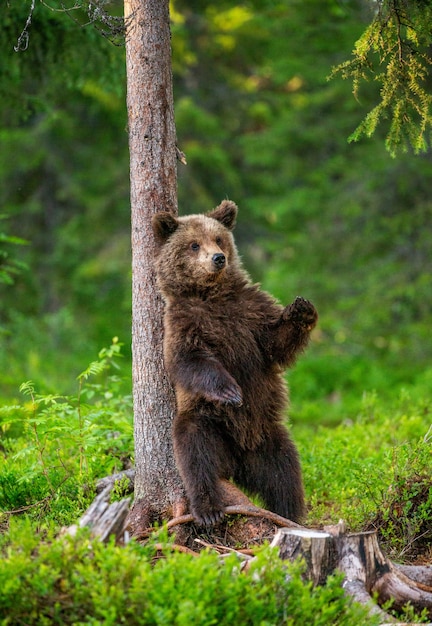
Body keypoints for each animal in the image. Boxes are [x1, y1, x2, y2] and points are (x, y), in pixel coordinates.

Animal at [152, 199, 318, 520]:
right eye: (193, 244)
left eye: (218, 239)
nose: (218, 258)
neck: (211, 295)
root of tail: (238, 461)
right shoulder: (182, 322)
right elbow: (188, 360)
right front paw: (230, 391)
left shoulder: (250, 311)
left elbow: (275, 343)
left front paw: (301, 310)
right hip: (206, 421)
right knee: (196, 453)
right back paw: (208, 508)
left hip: (269, 436)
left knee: (285, 473)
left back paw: (290, 515)